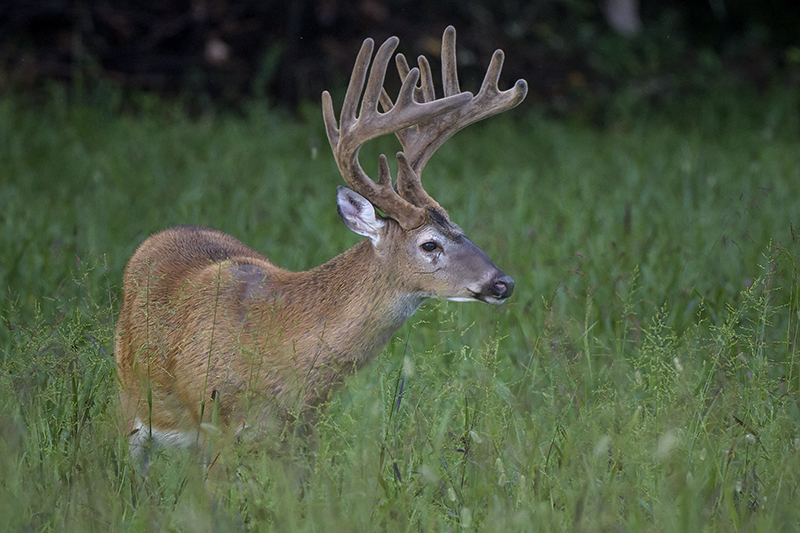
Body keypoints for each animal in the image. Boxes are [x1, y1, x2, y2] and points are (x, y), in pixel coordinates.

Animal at [112, 27, 524, 462]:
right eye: (430, 245)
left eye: (460, 228)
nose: (503, 283)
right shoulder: (214, 424)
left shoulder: (304, 430)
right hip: (129, 403)